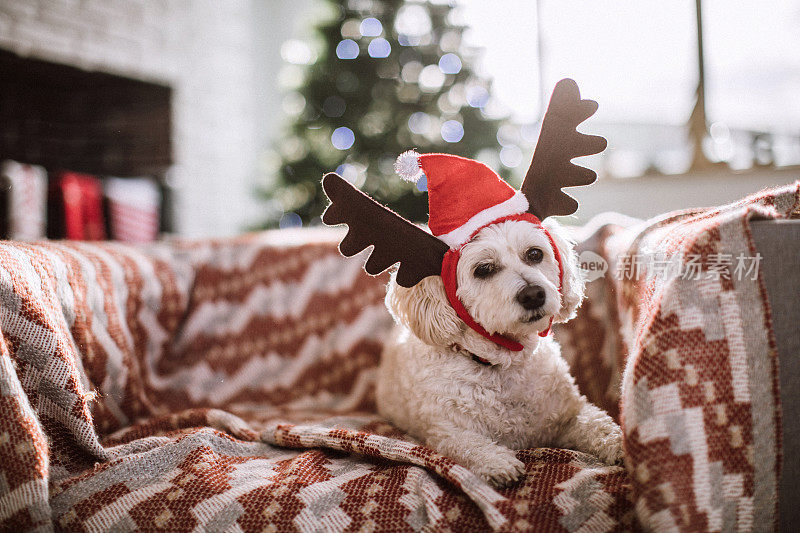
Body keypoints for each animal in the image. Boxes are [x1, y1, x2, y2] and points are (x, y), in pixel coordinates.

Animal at [376, 217, 624, 486]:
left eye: (535, 254)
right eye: (483, 269)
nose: (533, 294)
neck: (503, 365)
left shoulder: (569, 415)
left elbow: (597, 422)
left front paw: (619, 443)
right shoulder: (446, 432)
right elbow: (469, 445)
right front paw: (497, 462)